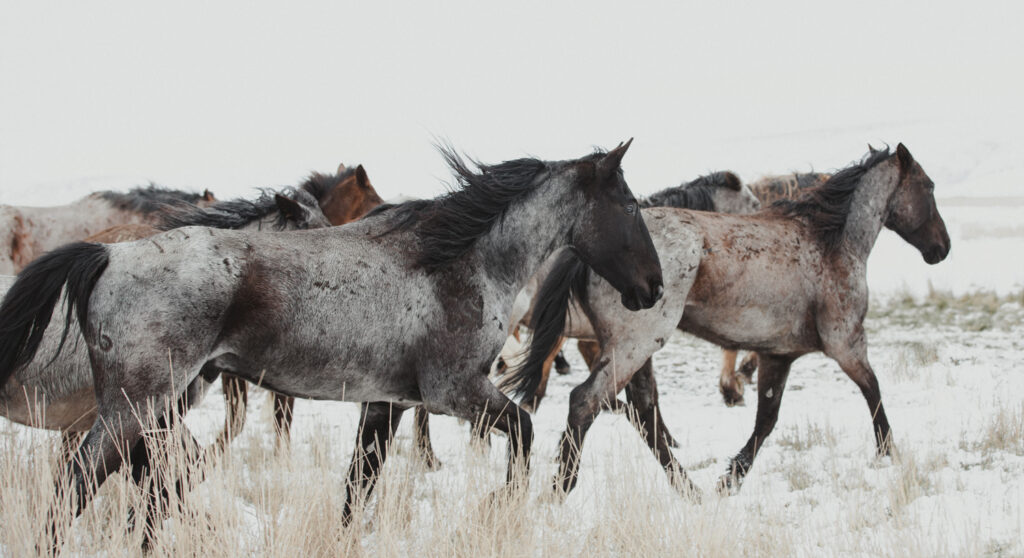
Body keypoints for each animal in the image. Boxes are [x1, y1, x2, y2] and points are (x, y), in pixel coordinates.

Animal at [508, 144, 949, 497]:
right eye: (928, 187)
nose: (941, 248)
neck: (830, 243)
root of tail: (583, 252)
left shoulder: (778, 355)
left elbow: (766, 420)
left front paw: (730, 478)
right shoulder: (847, 344)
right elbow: (873, 393)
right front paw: (889, 455)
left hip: (633, 350)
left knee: (644, 411)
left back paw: (689, 491)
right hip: (632, 347)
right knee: (586, 402)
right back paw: (560, 488)